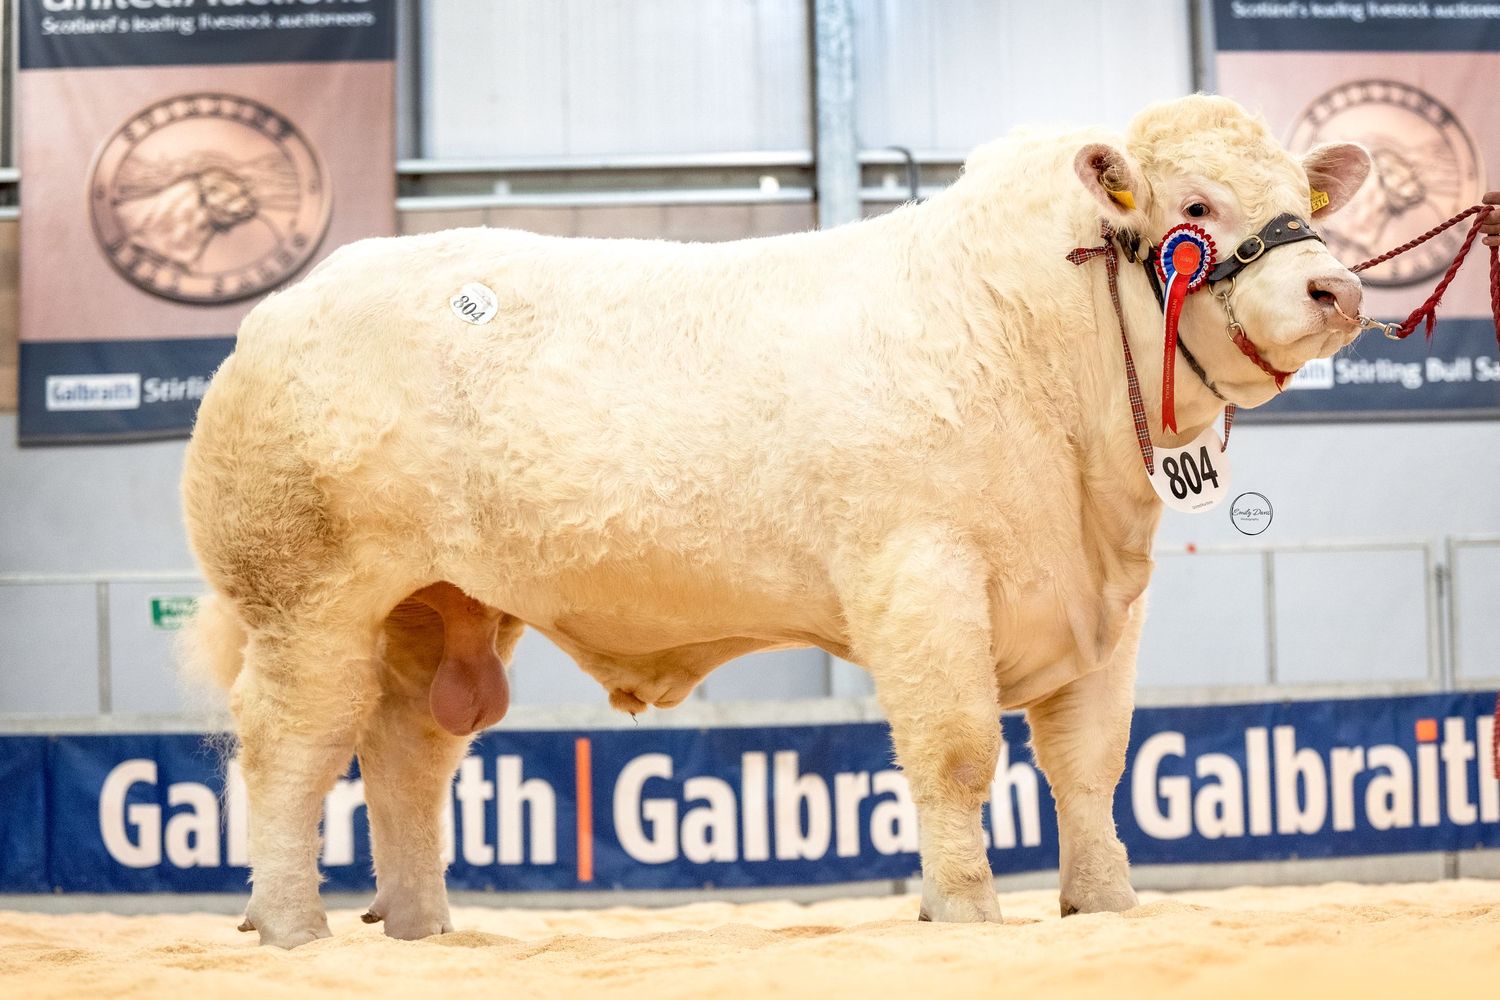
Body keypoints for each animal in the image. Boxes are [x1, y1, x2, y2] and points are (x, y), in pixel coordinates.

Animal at [179, 94, 1372, 947]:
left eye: (1308, 202)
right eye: (1196, 207)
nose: (1340, 290)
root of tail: (280, 311)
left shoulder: (1106, 607)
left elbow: (1089, 766)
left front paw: (1107, 906)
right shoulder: (920, 575)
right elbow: (957, 753)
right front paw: (966, 913)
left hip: (435, 602)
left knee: (406, 751)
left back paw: (424, 929)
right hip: (306, 595)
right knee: (289, 747)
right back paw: (292, 927)